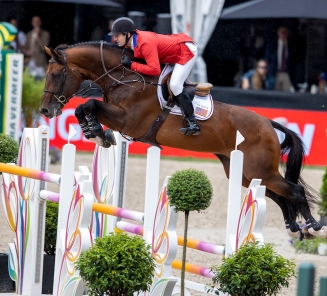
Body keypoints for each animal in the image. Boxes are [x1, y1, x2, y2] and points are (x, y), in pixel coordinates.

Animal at [39, 41, 326, 240]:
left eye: (56, 75)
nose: (45, 110)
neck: (124, 78)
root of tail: (268, 123)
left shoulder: (128, 120)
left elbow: (88, 104)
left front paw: (98, 132)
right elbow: (84, 108)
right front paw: (96, 132)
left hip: (259, 169)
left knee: (294, 191)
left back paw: (313, 225)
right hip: (246, 173)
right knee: (277, 194)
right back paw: (293, 225)